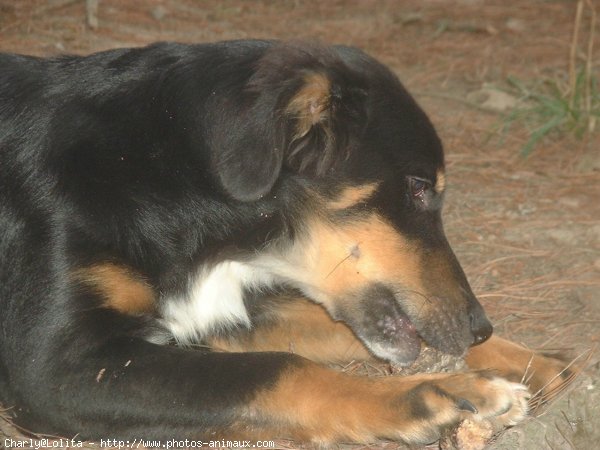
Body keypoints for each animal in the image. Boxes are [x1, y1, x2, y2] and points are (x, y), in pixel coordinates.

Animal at [0, 40, 568, 444]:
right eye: (419, 187)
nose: (479, 328)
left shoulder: (227, 312)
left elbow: (319, 330)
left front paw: (530, 360)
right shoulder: (56, 367)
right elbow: (281, 368)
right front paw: (443, 396)